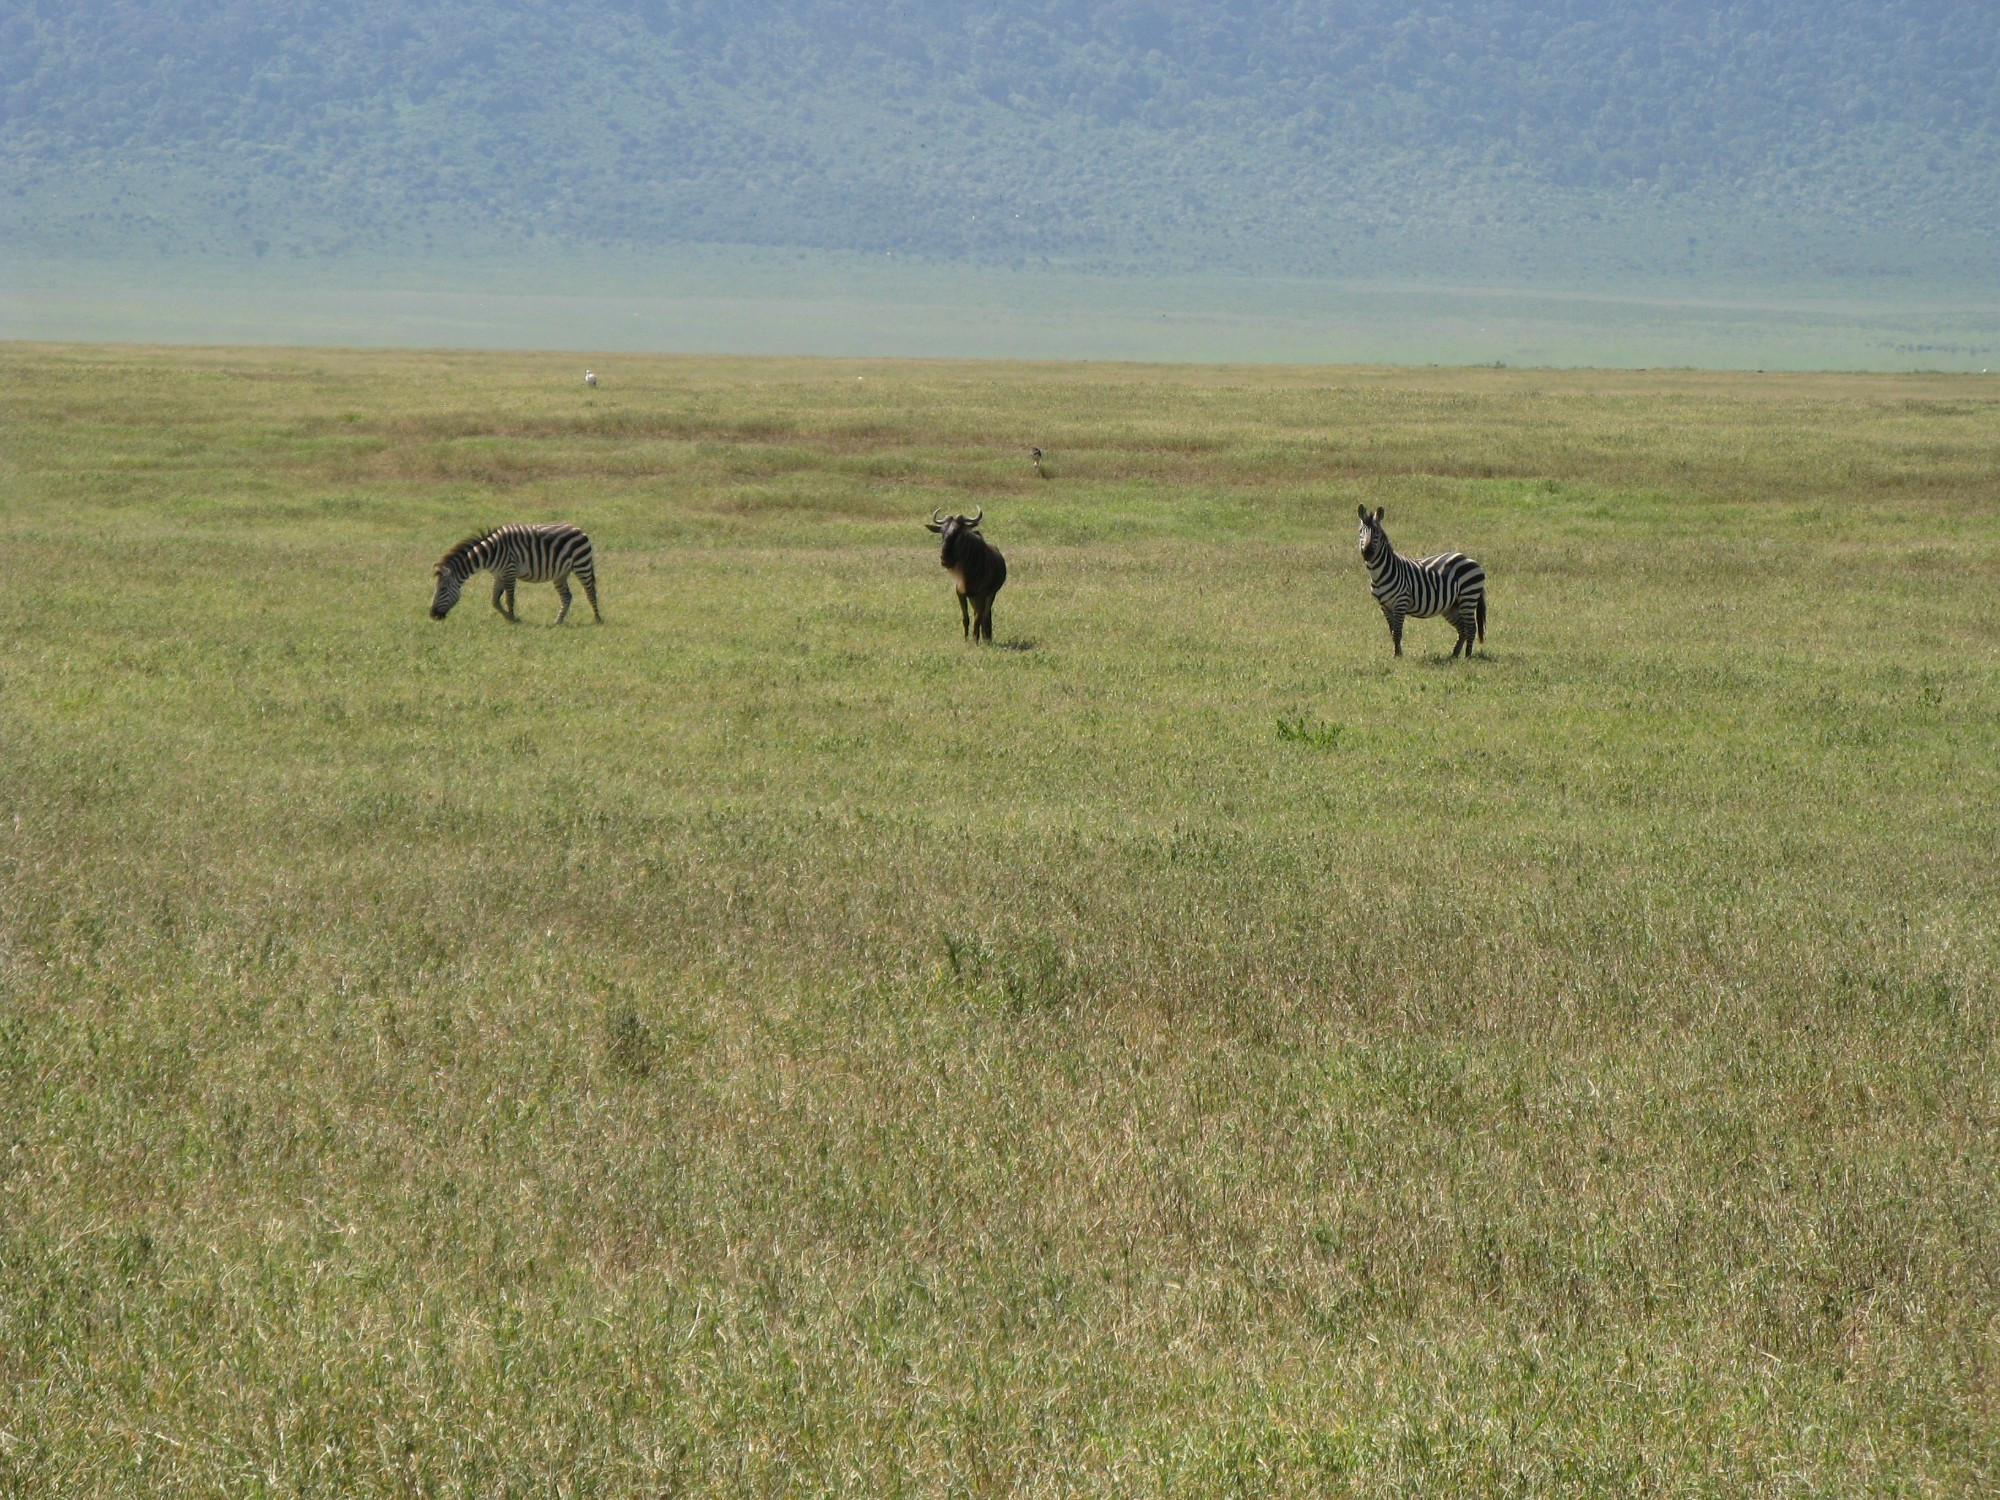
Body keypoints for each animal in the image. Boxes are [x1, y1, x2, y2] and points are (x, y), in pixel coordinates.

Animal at [430, 524, 600, 624]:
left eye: (442, 589)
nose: (432, 615)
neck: (489, 554)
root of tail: (579, 530)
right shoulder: (498, 575)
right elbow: (494, 601)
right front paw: (508, 617)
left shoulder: (509, 571)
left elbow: (509, 598)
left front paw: (513, 618)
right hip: (561, 573)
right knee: (566, 596)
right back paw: (558, 621)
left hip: (582, 564)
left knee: (590, 592)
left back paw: (597, 619)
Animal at [1360, 508, 1488, 660]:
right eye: (1361, 531)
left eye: (1377, 533)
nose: (1367, 553)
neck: (1380, 573)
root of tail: (1469, 559)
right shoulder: (1385, 606)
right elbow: (1392, 631)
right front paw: (1396, 654)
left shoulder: (1401, 602)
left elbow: (1397, 632)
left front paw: (1398, 656)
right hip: (1451, 606)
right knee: (1462, 628)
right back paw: (1454, 655)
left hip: (1468, 597)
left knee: (1471, 628)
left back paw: (1467, 656)